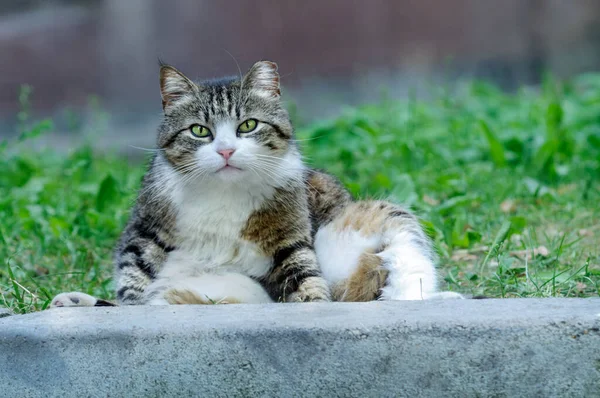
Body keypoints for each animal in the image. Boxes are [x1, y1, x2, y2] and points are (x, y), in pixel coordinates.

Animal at [51, 60, 464, 308]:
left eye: (248, 125)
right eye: (199, 131)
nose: (226, 150)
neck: (221, 197)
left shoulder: (291, 243)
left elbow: (307, 284)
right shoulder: (145, 232)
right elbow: (132, 288)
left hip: (385, 219)